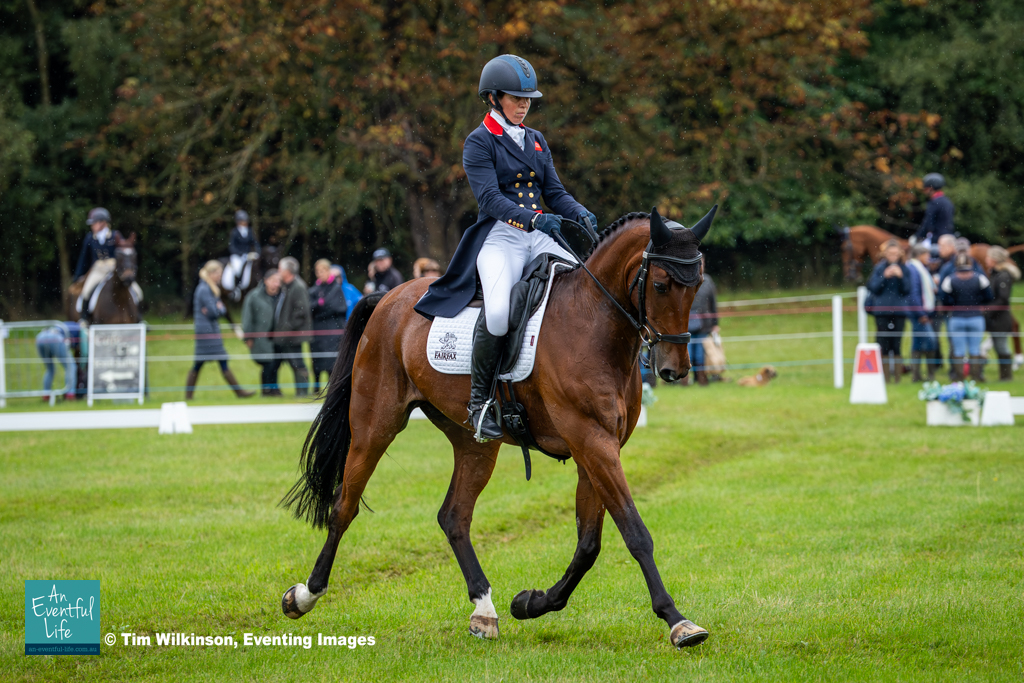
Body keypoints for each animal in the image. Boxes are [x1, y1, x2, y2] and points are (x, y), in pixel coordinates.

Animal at [280, 208, 717, 649]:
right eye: (660, 285)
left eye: (697, 284)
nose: (674, 369)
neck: (592, 321)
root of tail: (387, 297)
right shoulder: (591, 441)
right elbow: (634, 532)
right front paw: (678, 621)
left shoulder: (596, 448)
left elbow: (588, 544)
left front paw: (531, 603)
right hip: (374, 426)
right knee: (344, 506)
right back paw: (304, 595)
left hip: (474, 444)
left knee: (454, 516)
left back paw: (484, 610)